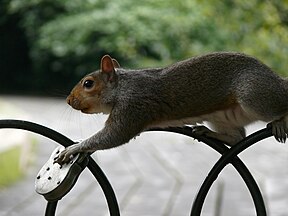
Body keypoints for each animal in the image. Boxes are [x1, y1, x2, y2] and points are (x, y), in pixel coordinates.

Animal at [54, 52, 288, 164]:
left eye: (88, 83)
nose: (69, 101)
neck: (122, 88)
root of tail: (279, 82)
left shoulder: (132, 107)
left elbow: (113, 136)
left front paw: (73, 148)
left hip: (255, 96)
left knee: (279, 108)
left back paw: (280, 122)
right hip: (223, 117)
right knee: (237, 137)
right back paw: (206, 131)